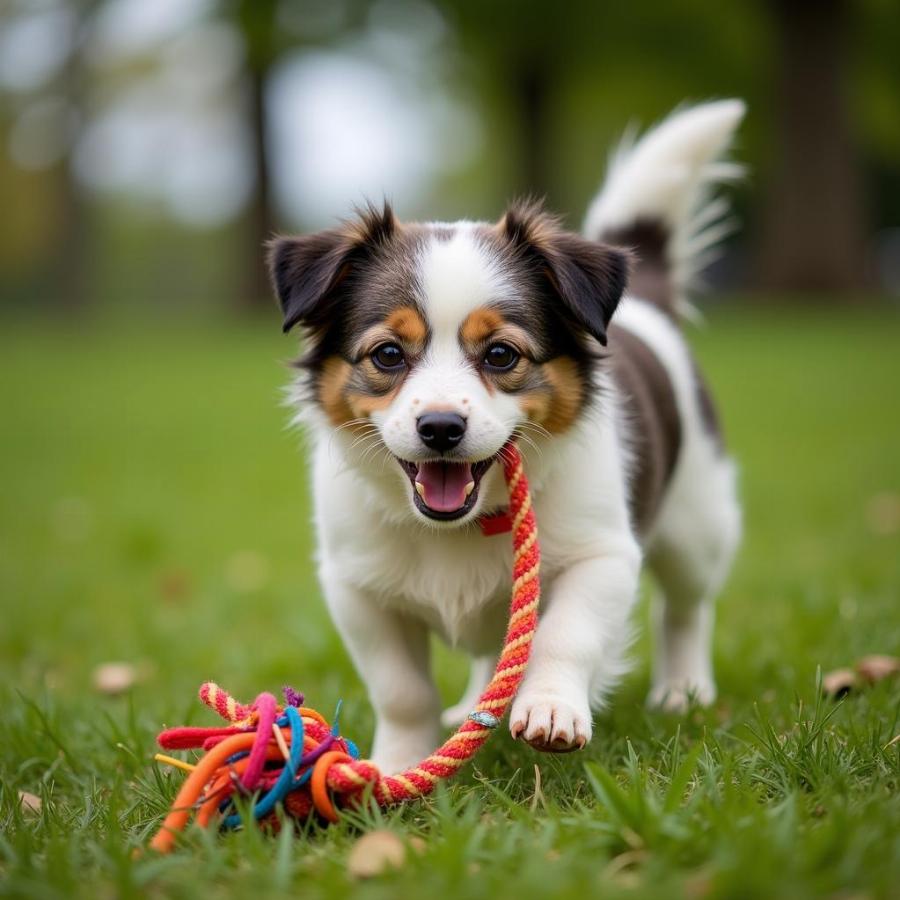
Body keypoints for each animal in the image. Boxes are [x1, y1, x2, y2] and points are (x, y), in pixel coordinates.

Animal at [268, 98, 744, 772]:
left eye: (500, 354)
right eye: (388, 354)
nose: (441, 427)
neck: (459, 527)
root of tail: (647, 304)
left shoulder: (602, 556)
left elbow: (563, 637)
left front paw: (551, 707)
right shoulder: (357, 587)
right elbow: (401, 690)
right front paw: (398, 766)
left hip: (697, 523)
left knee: (685, 607)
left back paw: (684, 690)